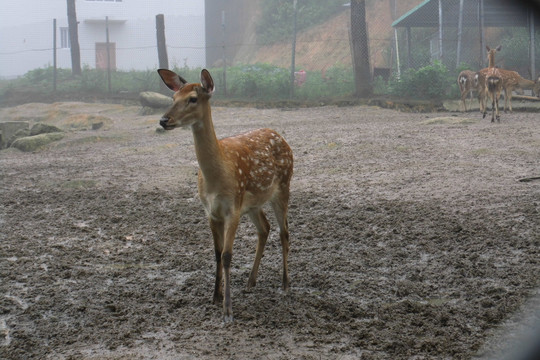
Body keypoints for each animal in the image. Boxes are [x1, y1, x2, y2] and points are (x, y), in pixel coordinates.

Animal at [156, 69, 294, 322]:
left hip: (283, 186)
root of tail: (280, 136)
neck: (217, 178)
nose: (163, 120)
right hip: (253, 203)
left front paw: (228, 309)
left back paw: (285, 284)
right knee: (265, 228)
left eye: (192, 98)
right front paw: (215, 296)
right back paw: (250, 282)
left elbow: (228, 254)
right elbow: (217, 253)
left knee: (284, 232)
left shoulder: (232, 209)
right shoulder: (211, 212)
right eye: (173, 97)